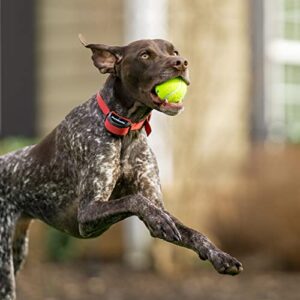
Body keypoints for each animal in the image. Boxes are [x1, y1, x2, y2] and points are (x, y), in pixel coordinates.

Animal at [0, 34, 243, 298]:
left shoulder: (156, 202)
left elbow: (193, 232)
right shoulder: (87, 215)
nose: (182, 63)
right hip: (5, 266)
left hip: (17, 252)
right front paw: (157, 219)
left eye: (174, 51)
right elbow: (134, 200)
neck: (125, 128)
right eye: (145, 55)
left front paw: (220, 256)